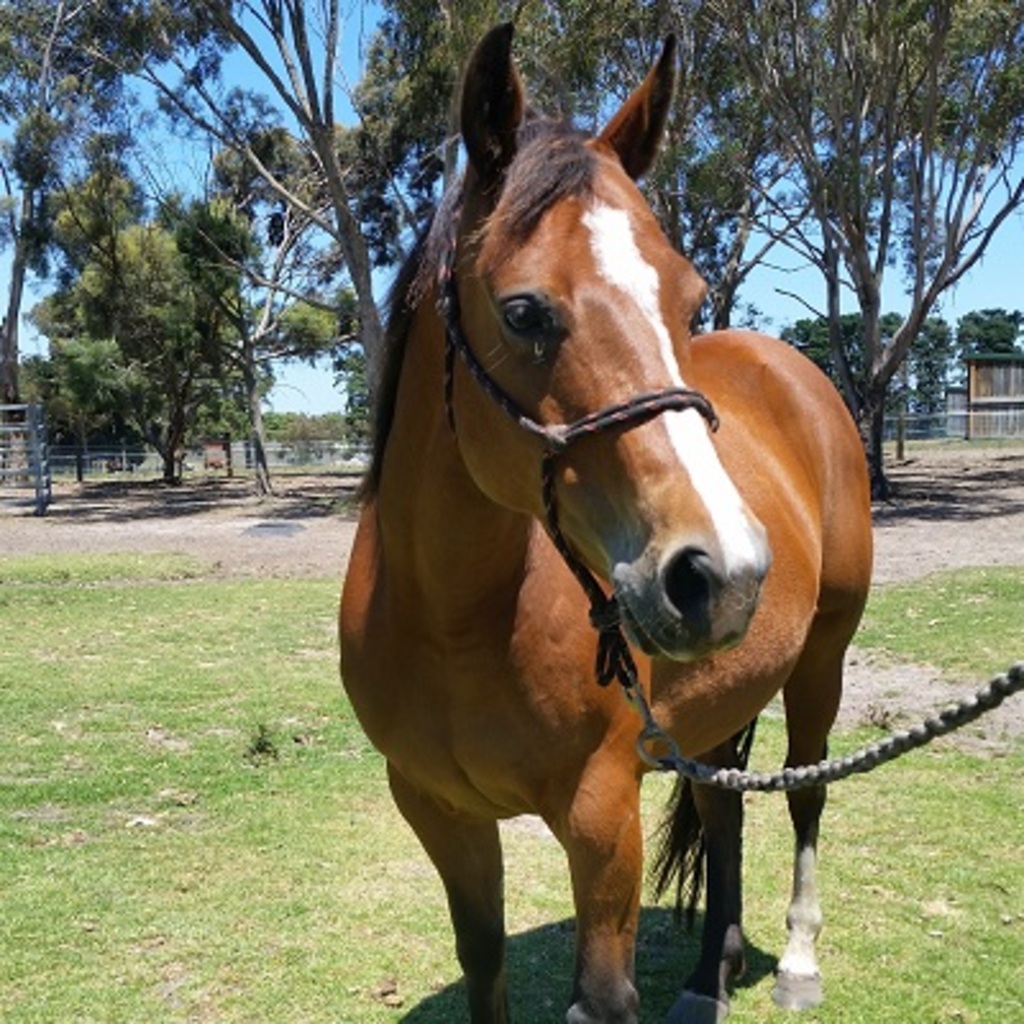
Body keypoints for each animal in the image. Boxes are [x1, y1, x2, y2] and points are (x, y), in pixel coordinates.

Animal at [340, 24, 872, 1024]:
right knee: (725, 808)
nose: (723, 572)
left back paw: (794, 961)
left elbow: (602, 995)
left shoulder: (601, 816)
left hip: (822, 661)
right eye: (523, 311)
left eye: (689, 300)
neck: (454, 621)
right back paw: (708, 976)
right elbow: (483, 962)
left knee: (806, 796)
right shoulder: (439, 813)